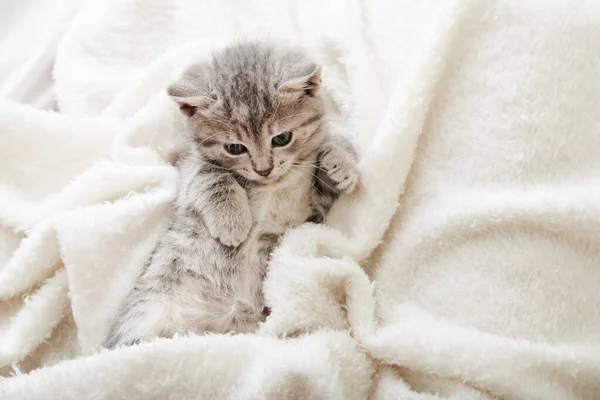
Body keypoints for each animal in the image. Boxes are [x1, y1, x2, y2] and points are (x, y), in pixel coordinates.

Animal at [102, 39, 358, 346]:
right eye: (234, 148)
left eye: (282, 138)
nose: (264, 169)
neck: (268, 185)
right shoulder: (187, 171)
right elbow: (212, 175)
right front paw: (232, 223)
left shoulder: (315, 208)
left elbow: (331, 157)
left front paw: (341, 163)